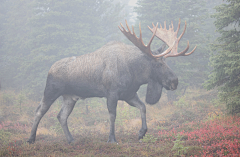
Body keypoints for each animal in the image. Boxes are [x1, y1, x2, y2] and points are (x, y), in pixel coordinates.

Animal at [27, 18, 197, 144]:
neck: (135, 72)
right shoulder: (112, 93)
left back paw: (71, 139)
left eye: (166, 62)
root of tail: (50, 69)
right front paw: (112, 138)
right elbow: (112, 115)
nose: (174, 81)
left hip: (70, 97)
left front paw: (142, 132)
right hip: (51, 91)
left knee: (61, 116)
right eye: (158, 64)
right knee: (39, 110)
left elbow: (143, 107)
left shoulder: (129, 95)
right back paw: (31, 138)